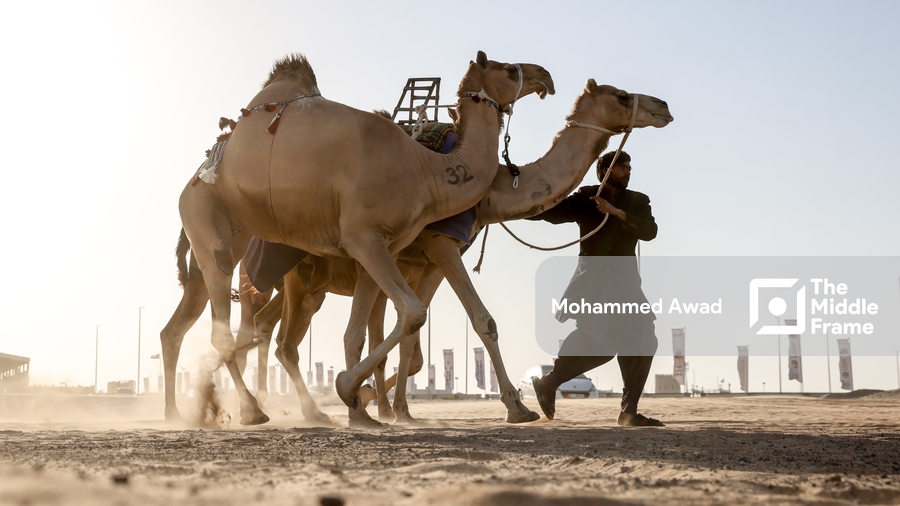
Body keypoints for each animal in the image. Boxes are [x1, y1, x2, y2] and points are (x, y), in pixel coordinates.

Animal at [174, 51, 554, 425]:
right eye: (507, 69)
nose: (545, 76)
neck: (426, 170)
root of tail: (201, 170)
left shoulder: (383, 245)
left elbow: (360, 330)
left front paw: (359, 404)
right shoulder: (364, 237)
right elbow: (414, 313)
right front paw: (349, 388)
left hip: (242, 228)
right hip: (202, 213)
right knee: (223, 305)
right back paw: (252, 411)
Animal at [247, 80, 673, 424]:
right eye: (621, 95)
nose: (663, 106)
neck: (490, 191)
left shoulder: (431, 261)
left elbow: (414, 344)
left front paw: (396, 409)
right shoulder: (441, 244)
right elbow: (483, 321)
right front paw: (517, 407)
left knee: (272, 328)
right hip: (300, 274)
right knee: (283, 340)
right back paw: (297, 410)